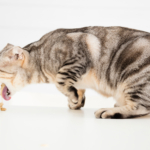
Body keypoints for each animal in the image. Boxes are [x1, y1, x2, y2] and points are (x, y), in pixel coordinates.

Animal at [0, 26, 150, 119]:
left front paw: (73, 97)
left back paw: (108, 111)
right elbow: (77, 87)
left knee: (142, 107)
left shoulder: (78, 57)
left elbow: (60, 81)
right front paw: (76, 101)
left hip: (134, 76)